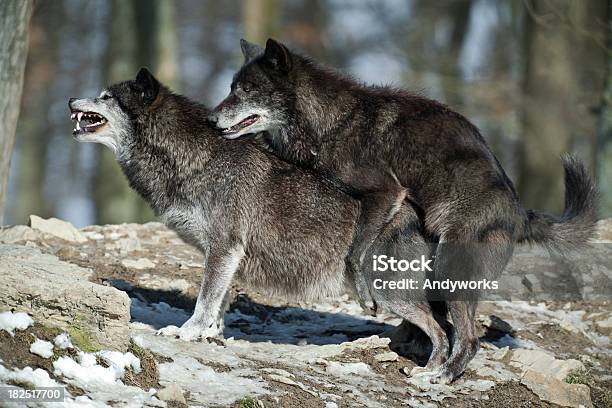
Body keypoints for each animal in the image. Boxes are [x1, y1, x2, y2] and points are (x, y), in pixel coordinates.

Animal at [207, 39, 596, 384]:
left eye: (247, 89)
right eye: (232, 88)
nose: (211, 119)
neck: (332, 121)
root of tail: (518, 214)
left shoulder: (385, 193)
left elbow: (354, 255)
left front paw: (366, 297)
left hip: (450, 271)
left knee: (468, 339)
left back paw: (441, 377)